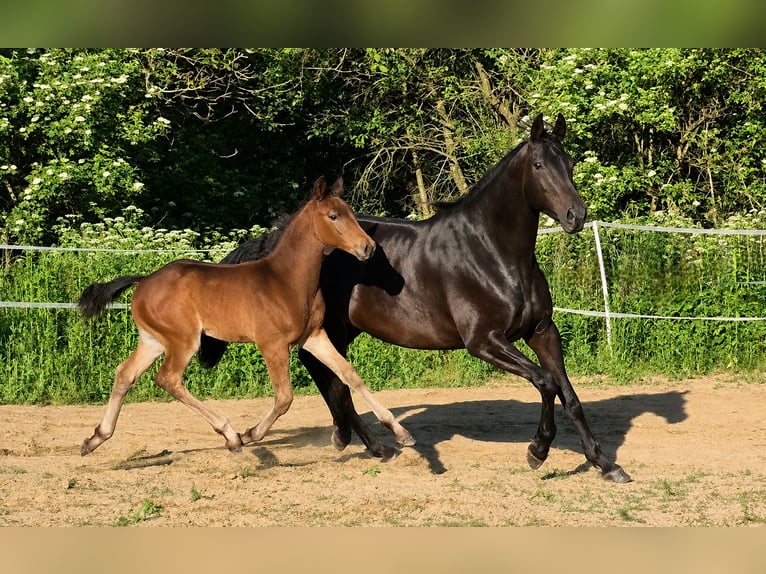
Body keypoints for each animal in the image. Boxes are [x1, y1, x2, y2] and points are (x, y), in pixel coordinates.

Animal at [77, 176, 414, 456]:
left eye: (350, 213)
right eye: (333, 216)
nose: (368, 248)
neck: (286, 281)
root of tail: (144, 280)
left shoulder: (314, 337)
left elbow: (350, 374)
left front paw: (401, 432)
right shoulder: (272, 344)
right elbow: (284, 398)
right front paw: (250, 434)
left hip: (153, 340)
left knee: (125, 374)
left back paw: (95, 438)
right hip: (182, 340)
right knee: (168, 379)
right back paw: (230, 435)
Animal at [199, 114, 632, 483]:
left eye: (570, 164)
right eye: (540, 165)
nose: (576, 215)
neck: (492, 252)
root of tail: (280, 240)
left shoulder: (542, 331)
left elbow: (569, 395)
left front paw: (606, 464)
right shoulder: (485, 342)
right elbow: (546, 383)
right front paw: (537, 451)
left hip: (339, 330)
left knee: (331, 376)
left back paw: (352, 438)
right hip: (331, 328)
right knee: (333, 378)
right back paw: (373, 444)